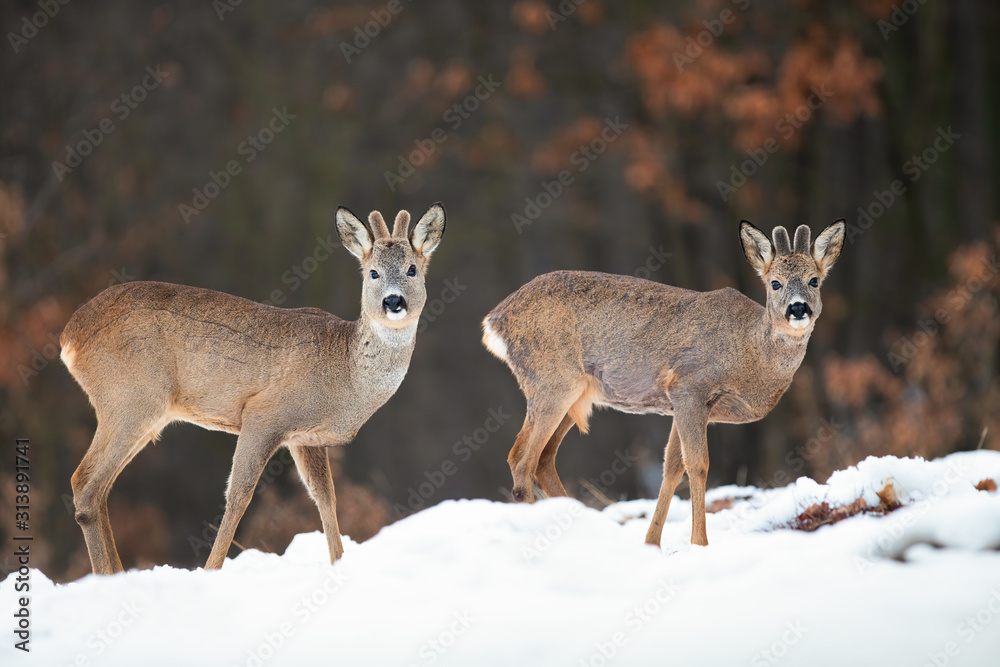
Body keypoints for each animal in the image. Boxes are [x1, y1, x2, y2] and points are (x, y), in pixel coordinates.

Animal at [61, 203, 446, 574]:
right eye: (373, 273)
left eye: (412, 269)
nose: (393, 302)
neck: (344, 373)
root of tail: (69, 337)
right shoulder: (264, 415)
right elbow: (239, 495)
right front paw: (211, 570)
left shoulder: (305, 439)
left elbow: (325, 497)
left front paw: (339, 564)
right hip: (130, 398)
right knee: (85, 483)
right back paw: (106, 574)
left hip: (143, 412)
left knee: (100, 488)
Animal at [482, 219, 845, 549]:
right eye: (775, 283)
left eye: (814, 280)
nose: (798, 308)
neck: (748, 353)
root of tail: (493, 321)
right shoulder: (690, 387)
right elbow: (698, 465)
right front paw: (700, 543)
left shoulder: (682, 404)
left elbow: (671, 467)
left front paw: (652, 543)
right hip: (552, 381)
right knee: (521, 460)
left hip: (575, 396)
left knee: (542, 460)